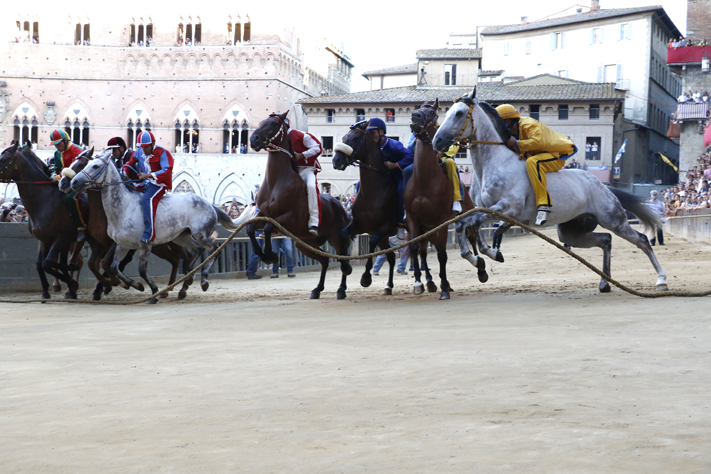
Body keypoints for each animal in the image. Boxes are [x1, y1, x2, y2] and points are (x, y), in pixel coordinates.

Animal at [248, 110, 354, 300]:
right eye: (260, 122)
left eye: (273, 123)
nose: (254, 139)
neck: (276, 182)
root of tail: (339, 205)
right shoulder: (263, 214)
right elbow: (251, 229)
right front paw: (264, 254)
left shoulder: (291, 219)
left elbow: (267, 228)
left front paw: (270, 255)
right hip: (304, 243)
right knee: (325, 260)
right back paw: (317, 289)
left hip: (337, 238)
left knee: (344, 261)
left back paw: (341, 289)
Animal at [432, 87, 672, 290]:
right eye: (447, 113)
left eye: (459, 113)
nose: (437, 141)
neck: (495, 162)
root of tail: (604, 187)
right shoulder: (485, 210)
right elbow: (466, 224)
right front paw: (480, 259)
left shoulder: (508, 208)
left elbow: (472, 225)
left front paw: (486, 256)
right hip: (571, 231)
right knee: (605, 240)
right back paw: (605, 283)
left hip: (614, 220)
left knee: (641, 241)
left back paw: (661, 279)